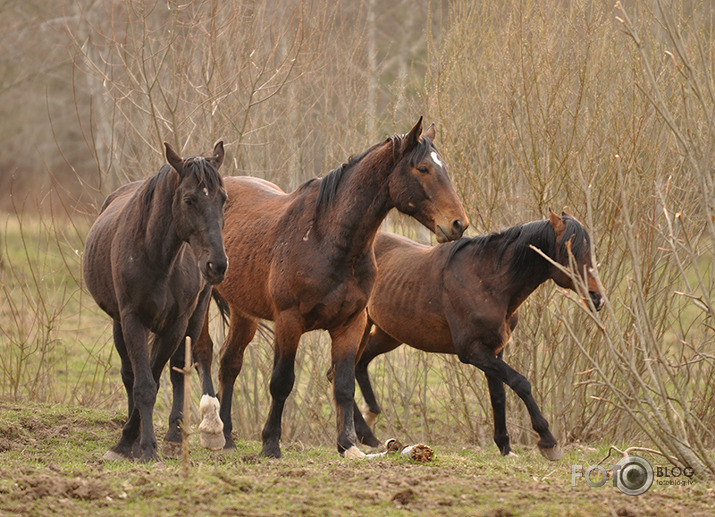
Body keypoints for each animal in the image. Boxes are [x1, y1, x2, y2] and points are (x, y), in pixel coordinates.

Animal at [83, 140, 229, 460]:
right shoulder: (131, 319)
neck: (158, 258)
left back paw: (175, 435)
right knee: (129, 374)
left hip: (195, 316)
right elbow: (142, 383)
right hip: (119, 323)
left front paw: (142, 442)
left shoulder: (175, 324)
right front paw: (132, 443)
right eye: (189, 200)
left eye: (224, 199)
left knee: (180, 368)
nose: (217, 265)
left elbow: (157, 375)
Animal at [180, 117, 470, 456]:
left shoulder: (351, 323)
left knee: (230, 362)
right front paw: (271, 444)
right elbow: (281, 382)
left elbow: (343, 383)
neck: (327, 238)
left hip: (244, 311)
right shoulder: (289, 321)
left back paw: (227, 437)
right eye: (423, 168)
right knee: (204, 353)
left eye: (443, 167)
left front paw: (348, 444)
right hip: (204, 304)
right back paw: (212, 428)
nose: (458, 223)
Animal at [354, 210, 604, 460]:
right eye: (569, 251)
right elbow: (520, 383)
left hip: (388, 335)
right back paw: (364, 433)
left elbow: (499, 395)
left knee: (358, 364)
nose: (597, 297)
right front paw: (548, 441)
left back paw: (369, 428)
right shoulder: (473, 352)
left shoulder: (494, 350)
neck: (486, 281)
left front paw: (505, 447)